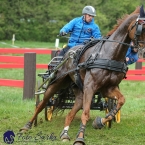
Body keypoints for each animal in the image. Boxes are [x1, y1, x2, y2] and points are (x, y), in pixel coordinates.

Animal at [19, 5, 145, 144]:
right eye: (141, 27)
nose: (142, 51)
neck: (109, 56)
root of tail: (69, 52)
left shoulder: (108, 88)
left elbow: (121, 101)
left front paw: (100, 122)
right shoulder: (90, 87)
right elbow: (86, 113)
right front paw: (80, 137)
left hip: (80, 92)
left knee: (70, 113)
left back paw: (64, 134)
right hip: (56, 83)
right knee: (42, 104)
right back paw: (27, 126)